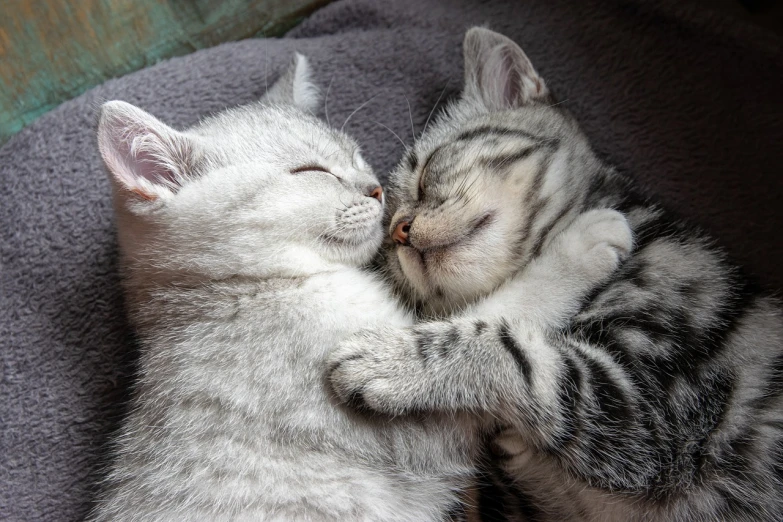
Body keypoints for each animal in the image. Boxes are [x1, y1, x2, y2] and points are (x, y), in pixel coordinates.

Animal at [92, 51, 628, 516]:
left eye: (356, 156)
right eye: (311, 171)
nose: (374, 189)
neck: (248, 286)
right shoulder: (417, 437)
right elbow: (493, 317)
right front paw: (582, 244)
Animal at [330, 29, 783, 520]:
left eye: (426, 172)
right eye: (385, 247)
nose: (400, 231)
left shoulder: (648, 415)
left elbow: (513, 353)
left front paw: (389, 359)